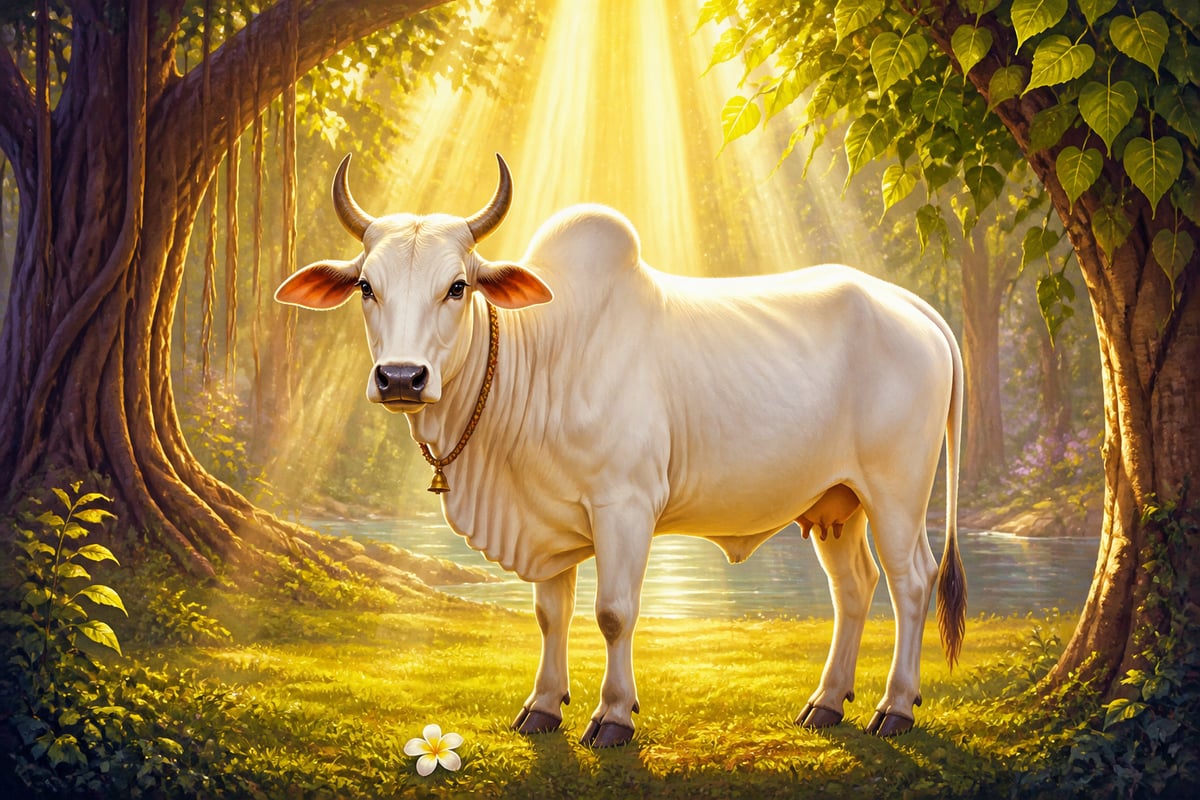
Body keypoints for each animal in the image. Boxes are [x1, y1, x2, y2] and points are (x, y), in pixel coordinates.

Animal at [276, 154, 966, 748]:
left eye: (457, 286)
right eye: (367, 286)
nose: (401, 378)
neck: (541, 355)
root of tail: (909, 305)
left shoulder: (625, 505)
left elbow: (613, 613)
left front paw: (613, 716)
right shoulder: (545, 519)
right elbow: (550, 614)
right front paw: (542, 707)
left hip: (896, 493)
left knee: (911, 582)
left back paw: (895, 707)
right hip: (836, 502)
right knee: (854, 588)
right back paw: (825, 703)